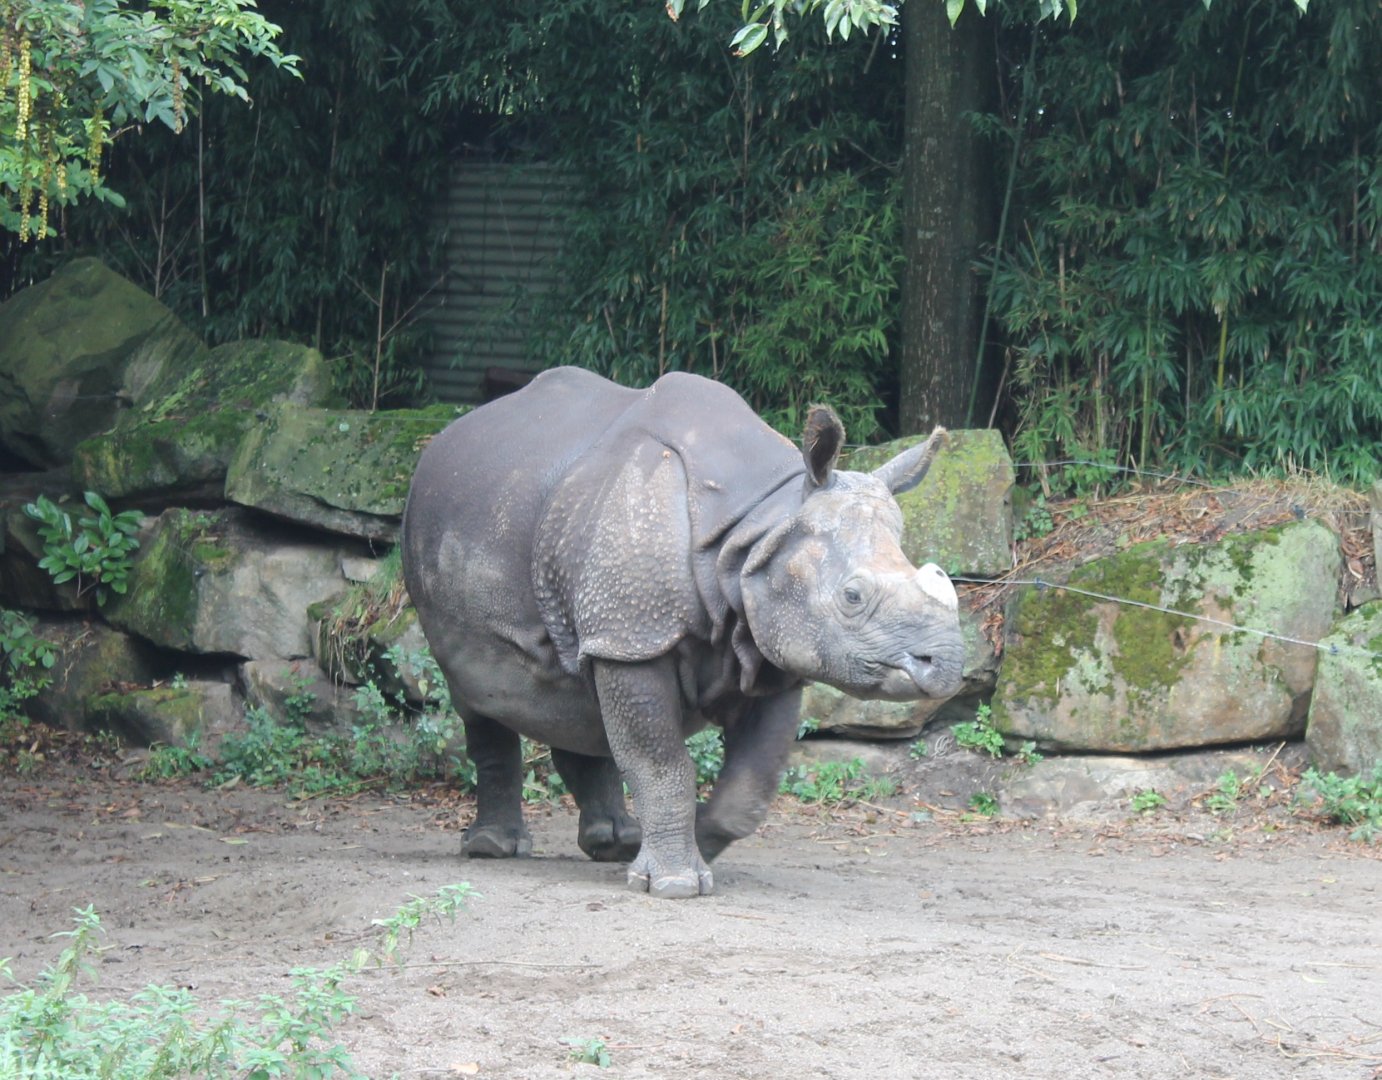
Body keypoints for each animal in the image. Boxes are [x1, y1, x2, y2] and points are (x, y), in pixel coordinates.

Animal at [401, 367, 964, 898]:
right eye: (852, 597)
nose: (947, 665)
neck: (759, 526)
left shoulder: (769, 653)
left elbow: (750, 789)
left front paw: (699, 844)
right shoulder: (634, 636)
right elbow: (661, 763)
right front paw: (675, 883)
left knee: (574, 690)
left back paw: (615, 844)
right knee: (480, 693)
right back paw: (494, 848)